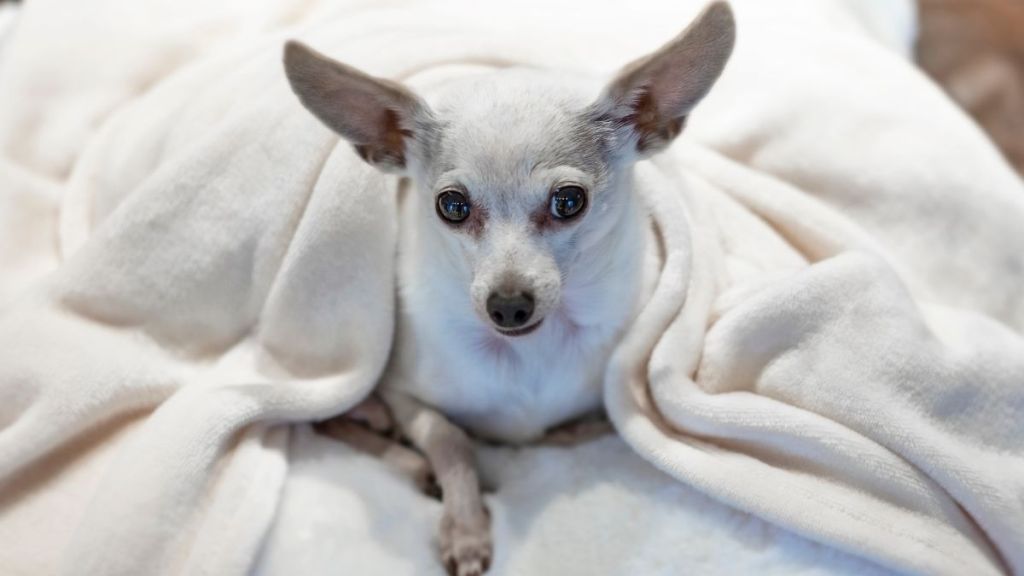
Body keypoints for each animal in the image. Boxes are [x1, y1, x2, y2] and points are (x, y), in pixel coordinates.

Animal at [284, 3, 733, 569]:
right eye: (452, 206)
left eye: (569, 201)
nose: (509, 306)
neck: (528, 360)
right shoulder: (397, 388)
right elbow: (449, 436)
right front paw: (465, 526)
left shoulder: (618, 396)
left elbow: (588, 431)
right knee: (324, 422)